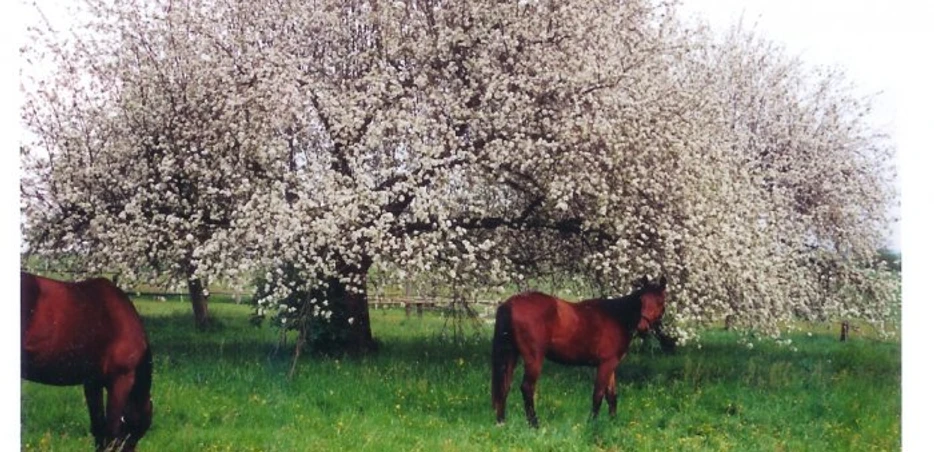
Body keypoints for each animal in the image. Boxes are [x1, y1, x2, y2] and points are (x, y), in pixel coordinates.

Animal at [491, 275, 668, 426]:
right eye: (642, 300)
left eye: (659, 301)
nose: (643, 328)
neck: (616, 317)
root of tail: (510, 304)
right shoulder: (606, 364)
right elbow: (598, 395)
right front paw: (592, 423)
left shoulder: (611, 366)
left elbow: (612, 396)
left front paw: (613, 423)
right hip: (534, 358)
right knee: (527, 388)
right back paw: (534, 424)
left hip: (511, 355)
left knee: (504, 386)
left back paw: (501, 422)